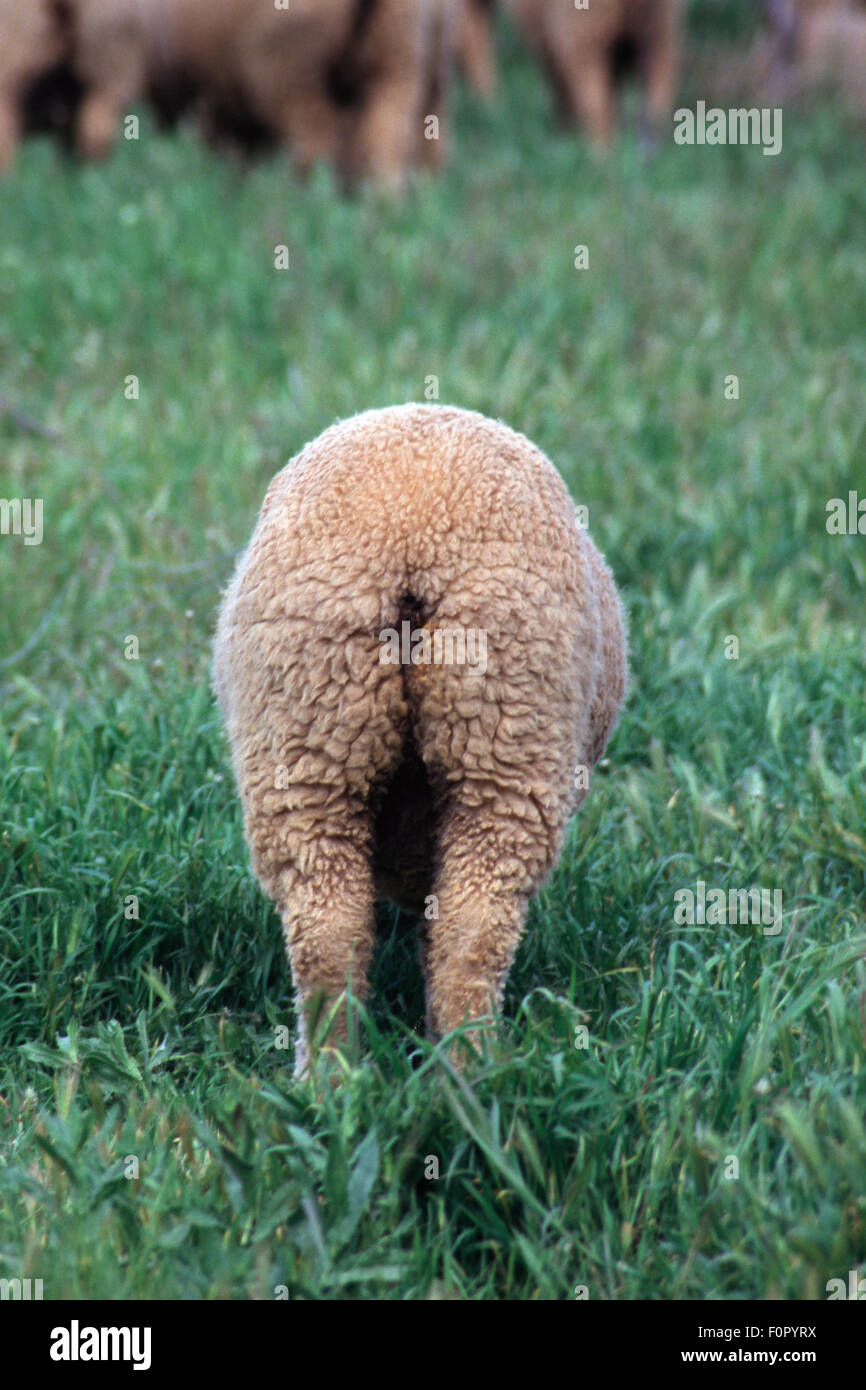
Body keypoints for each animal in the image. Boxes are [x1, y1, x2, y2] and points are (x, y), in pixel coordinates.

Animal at [214, 403, 625, 1073]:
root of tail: (411, 534)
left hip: (307, 735)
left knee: (333, 930)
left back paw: (336, 1075)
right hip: (508, 742)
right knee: (474, 928)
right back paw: (471, 1069)